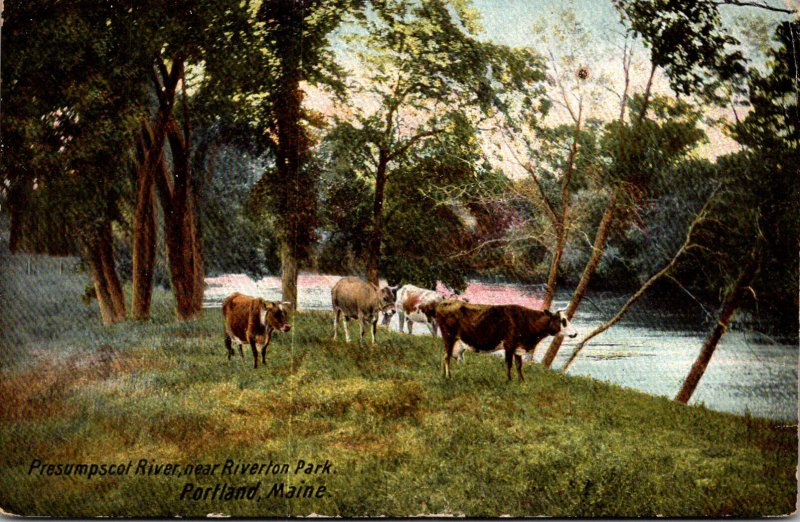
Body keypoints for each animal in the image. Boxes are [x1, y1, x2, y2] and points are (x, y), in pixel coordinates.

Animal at [434, 298, 580, 380]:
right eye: (562, 321)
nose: (575, 333)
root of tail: (443, 303)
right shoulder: (509, 344)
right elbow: (509, 364)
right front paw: (509, 381)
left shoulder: (518, 347)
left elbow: (519, 366)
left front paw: (522, 382)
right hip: (449, 336)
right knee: (446, 357)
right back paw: (448, 377)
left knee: (447, 356)